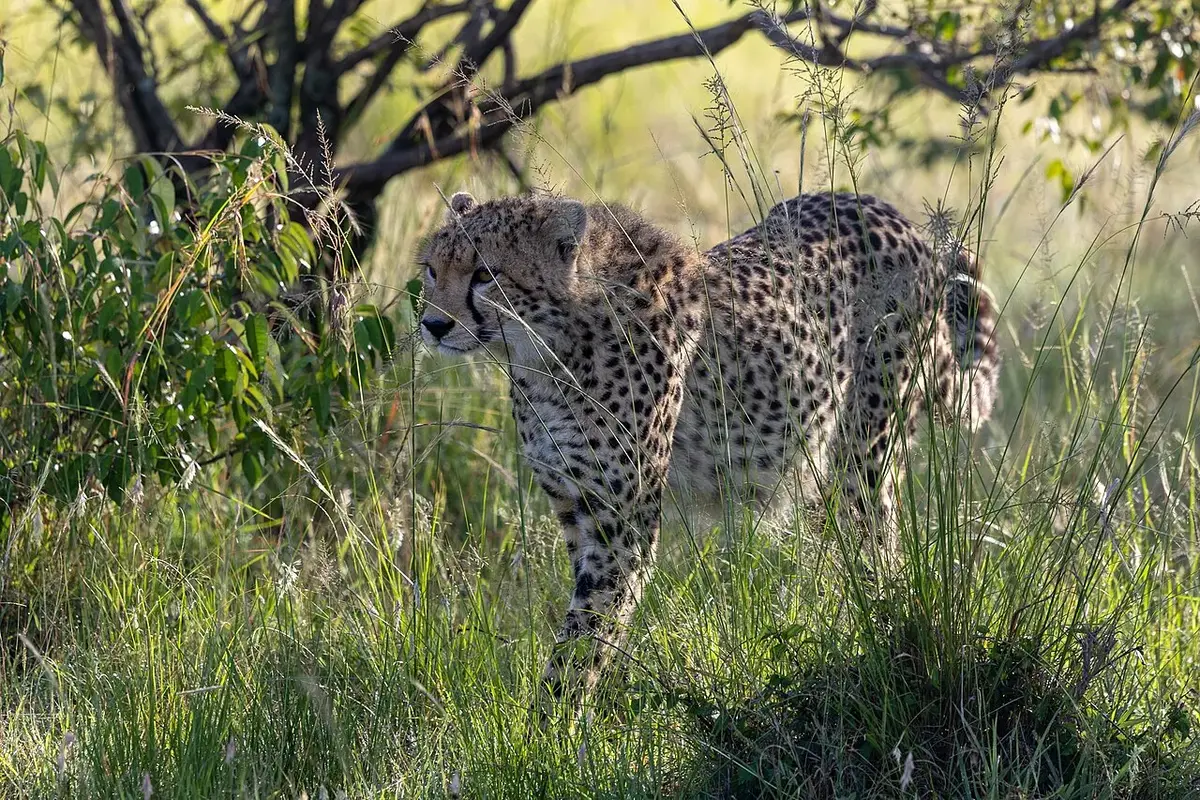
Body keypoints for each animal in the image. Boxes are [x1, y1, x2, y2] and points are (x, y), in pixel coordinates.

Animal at [417, 189, 1000, 702]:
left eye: (485, 275)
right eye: (431, 270)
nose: (432, 324)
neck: (546, 349)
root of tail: (888, 213)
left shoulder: (623, 524)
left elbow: (587, 632)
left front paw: (554, 725)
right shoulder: (578, 510)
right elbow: (594, 620)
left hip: (863, 458)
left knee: (879, 549)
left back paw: (879, 635)